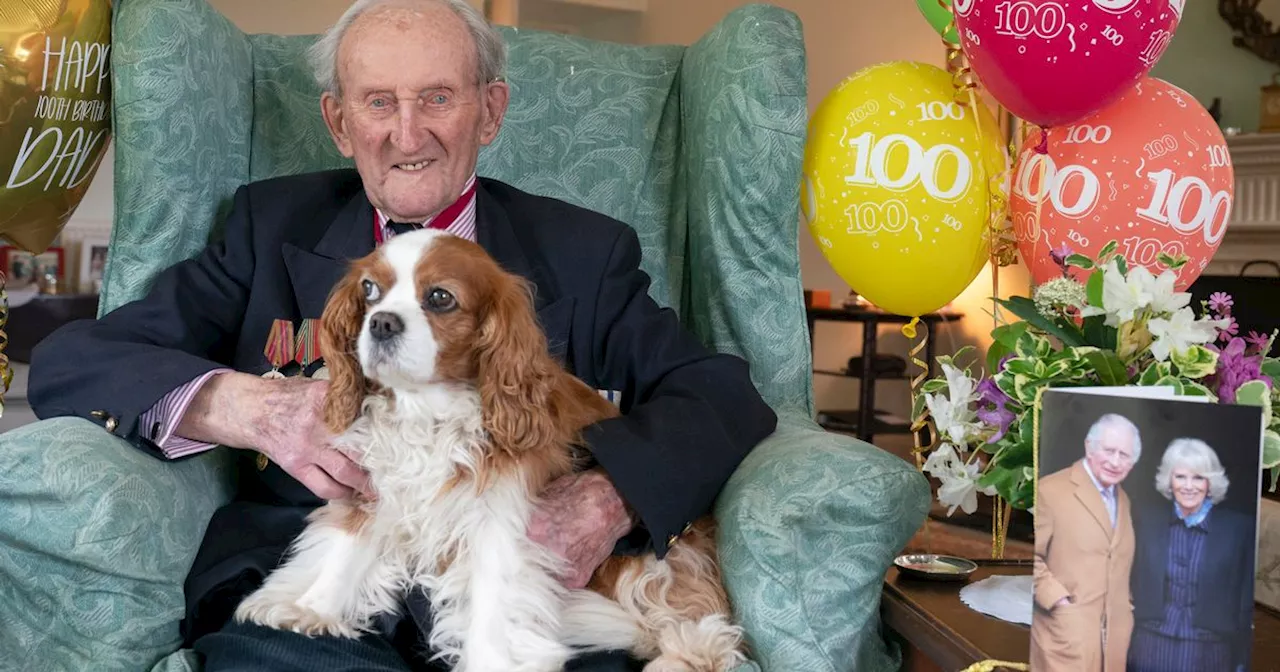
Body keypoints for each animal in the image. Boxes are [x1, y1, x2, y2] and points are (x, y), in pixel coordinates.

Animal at [235, 227, 747, 665]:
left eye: (439, 298)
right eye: (369, 290)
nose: (380, 323)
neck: (425, 410)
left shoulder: (499, 522)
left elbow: (493, 602)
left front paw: (491, 662)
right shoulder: (378, 487)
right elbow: (346, 548)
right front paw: (311, 606)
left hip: (651, 570)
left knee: (699, 633)